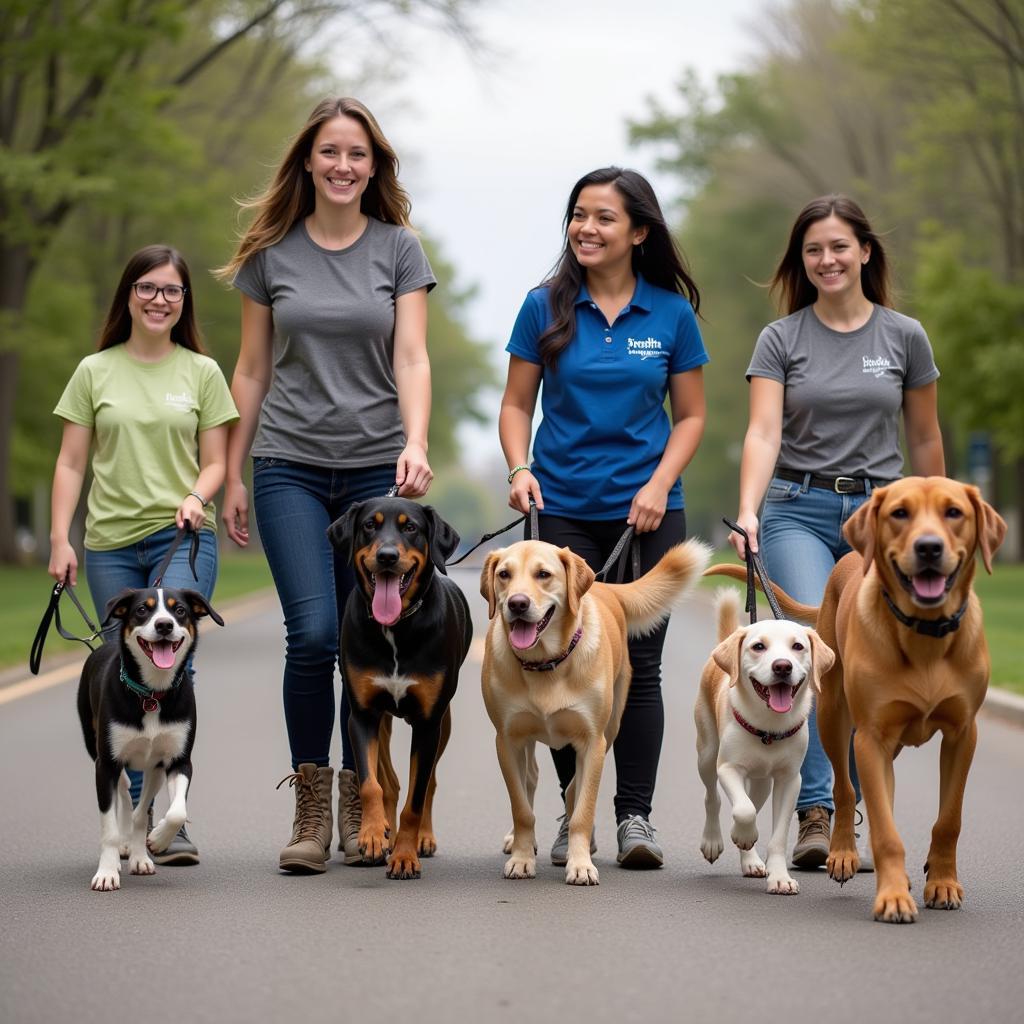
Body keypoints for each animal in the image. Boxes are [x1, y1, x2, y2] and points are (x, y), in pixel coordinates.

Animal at [77, 589, 224, 892]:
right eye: (142, 610)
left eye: (179, 610)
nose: (164, 625)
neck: (152, 694)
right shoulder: (106, 764)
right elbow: (108, 826)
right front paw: (107, 872)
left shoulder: (178, 760)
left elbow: (173, 811)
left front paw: (155, 841)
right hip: (94, 742)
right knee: (124, 788)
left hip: (154, 768)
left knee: (137, 804)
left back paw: (139, 854)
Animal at [692, 589, 835, 892]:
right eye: (758, 647)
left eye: (797, 646)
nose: (782, 666)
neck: (769, 728)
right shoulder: (729, 768)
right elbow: (743, 810)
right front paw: (741, 834)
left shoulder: (789, 780)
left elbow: (775, 834)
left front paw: (779, 877)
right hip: (707, 755)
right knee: (714, 797)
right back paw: (714, 840)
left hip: (762, 783)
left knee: (752, 802)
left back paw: (750, 860)